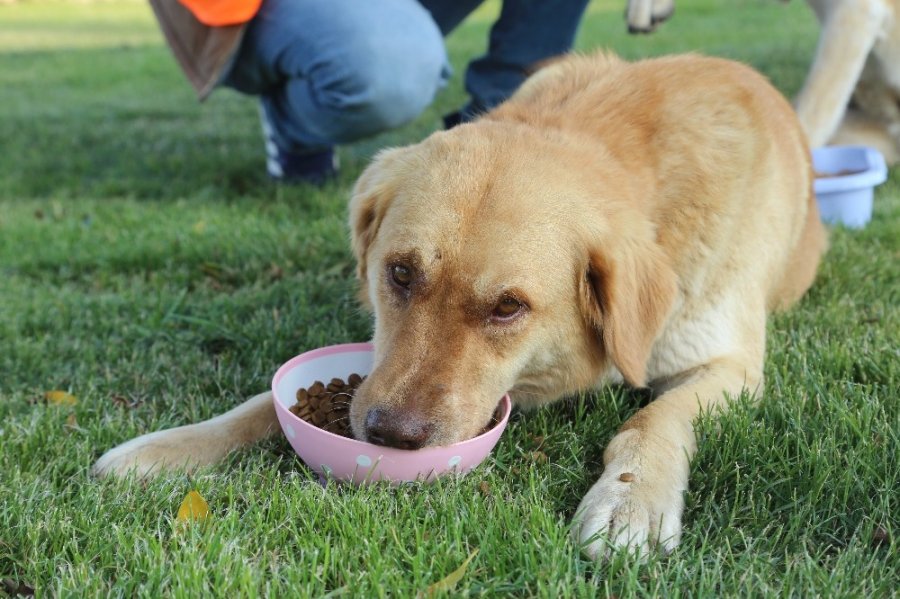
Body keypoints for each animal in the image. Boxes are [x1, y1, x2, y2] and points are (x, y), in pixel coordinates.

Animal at [95, 50, 828, 556]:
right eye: (398, 273)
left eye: (508, 307)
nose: (391, 436)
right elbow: (259, 404)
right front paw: (170, 448)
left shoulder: (731, 367)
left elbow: (655, 416)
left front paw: (632, 500)